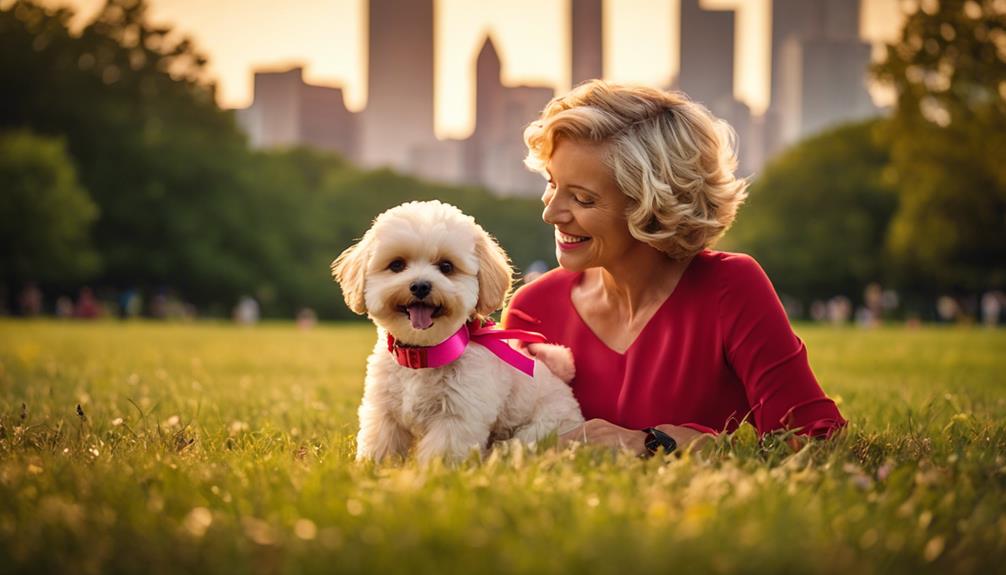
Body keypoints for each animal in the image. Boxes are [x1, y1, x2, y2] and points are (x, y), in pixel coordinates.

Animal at [329, 200, 583, 464]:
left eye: (446, 266)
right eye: (397, 264)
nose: (420, 286)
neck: (423, 355)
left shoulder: (457, 417)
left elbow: (440, 455)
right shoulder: (384, 413)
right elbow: (380, 446)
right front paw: (371, 468)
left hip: (539, 430)